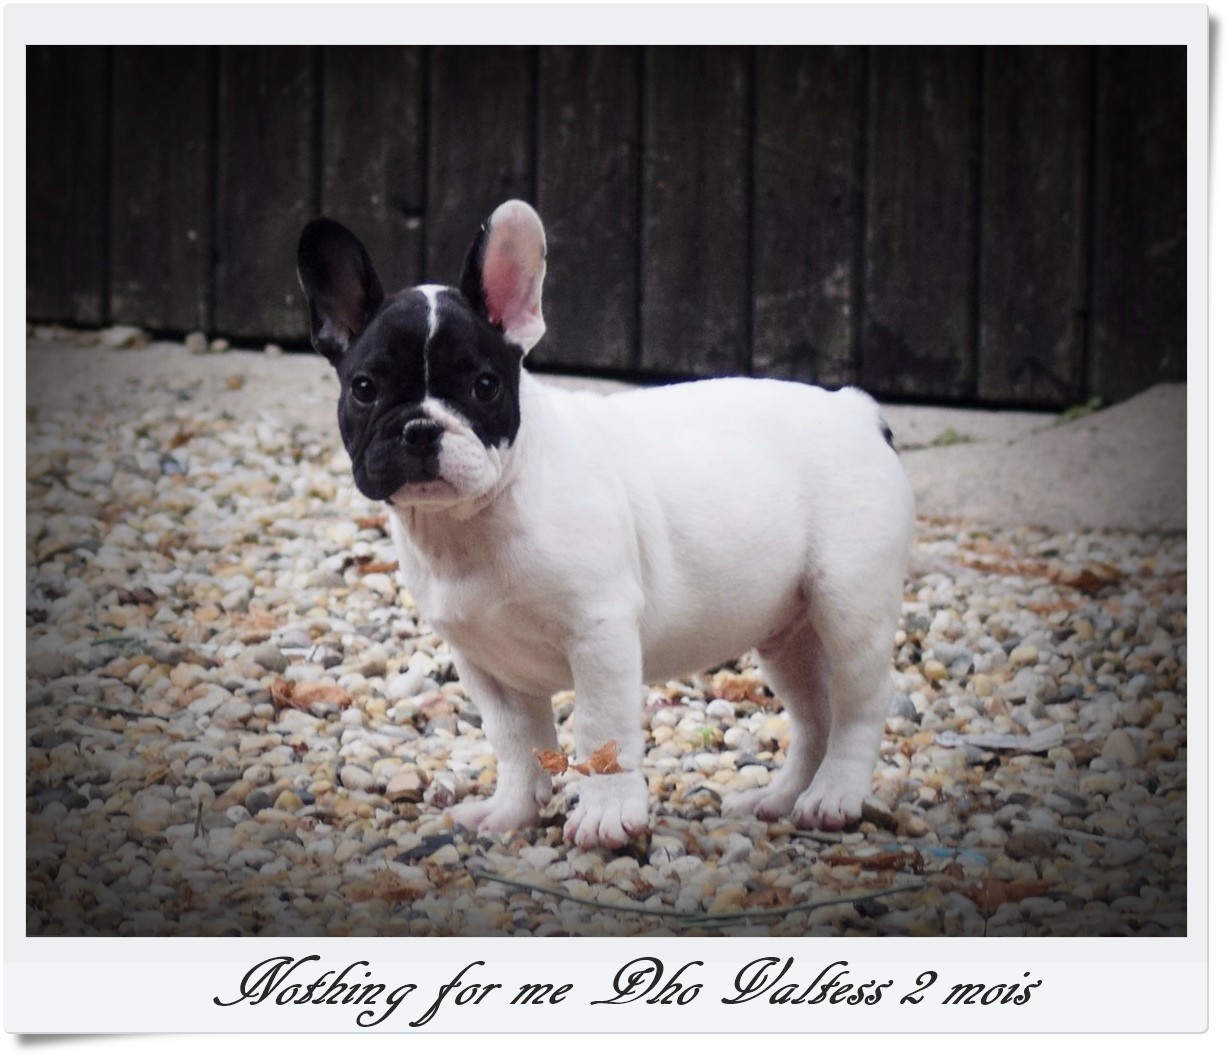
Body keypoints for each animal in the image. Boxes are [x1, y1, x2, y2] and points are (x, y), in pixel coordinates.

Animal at [296, 200, 914, 849]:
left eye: (484, 386)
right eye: (364, 389)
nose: (419, 428)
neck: (472, 520)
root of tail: (855, 409)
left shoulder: (599, 634)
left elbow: (600, 728)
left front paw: (606, 817)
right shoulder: (483, 661)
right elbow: (514, 740)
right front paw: (511, 812)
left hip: (847, 603)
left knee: (861, 704)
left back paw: (833, 796)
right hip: (787, 633)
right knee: (815, 712)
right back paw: (779, 798)